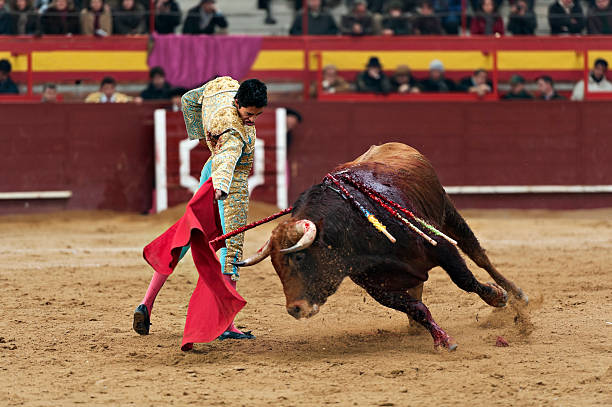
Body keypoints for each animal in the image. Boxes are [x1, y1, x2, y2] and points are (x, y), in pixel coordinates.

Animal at [237, 143, 528, 350]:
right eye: (275, 266)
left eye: (299, 258)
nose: (295, 309)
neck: (354, 230)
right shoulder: (378, 286)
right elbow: (416, 308)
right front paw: (442, 339)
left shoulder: (441, 247)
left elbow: (464, 279)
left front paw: (497, 296)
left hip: (448, 213)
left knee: (479, 257)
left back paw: (516, 294)